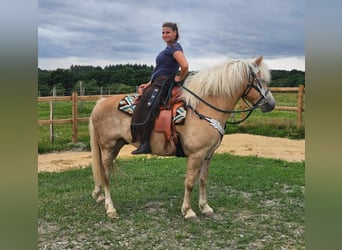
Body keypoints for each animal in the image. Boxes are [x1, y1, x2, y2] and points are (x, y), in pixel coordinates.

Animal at [89, 55, 276, 220]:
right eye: (261, 80)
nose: (271, 104)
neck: (204, 109)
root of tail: (100, 103)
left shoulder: (208, 154)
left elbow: (203, 180)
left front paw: (205, 208)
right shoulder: (196, 155)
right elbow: (190, 182)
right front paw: (188, 211)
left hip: (116, 145)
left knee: (102, 172)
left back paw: (99, 195)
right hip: (107, 147)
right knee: (106, 175)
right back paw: (110, 208)